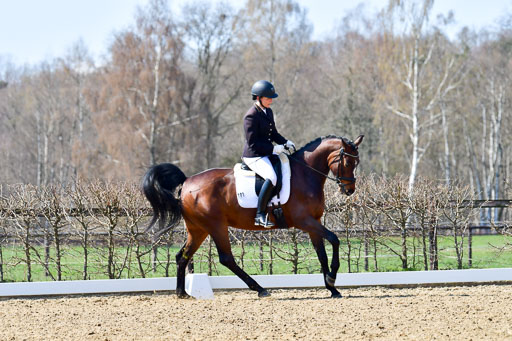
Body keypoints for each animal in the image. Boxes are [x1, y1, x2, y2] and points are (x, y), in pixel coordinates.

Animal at [142, 134, 362, 296]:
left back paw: (182, 293)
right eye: (348, 163)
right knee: (226, 259)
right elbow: (334, 239)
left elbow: (322, 253)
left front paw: (332, 288)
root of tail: (187, 181)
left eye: (357, 162)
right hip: (216, 226)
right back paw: (260, 289)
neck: (305, 174)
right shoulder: (305, 221)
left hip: (198, 229)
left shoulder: (313, 222)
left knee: (183, 256)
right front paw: (332, 277)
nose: (349, 190)